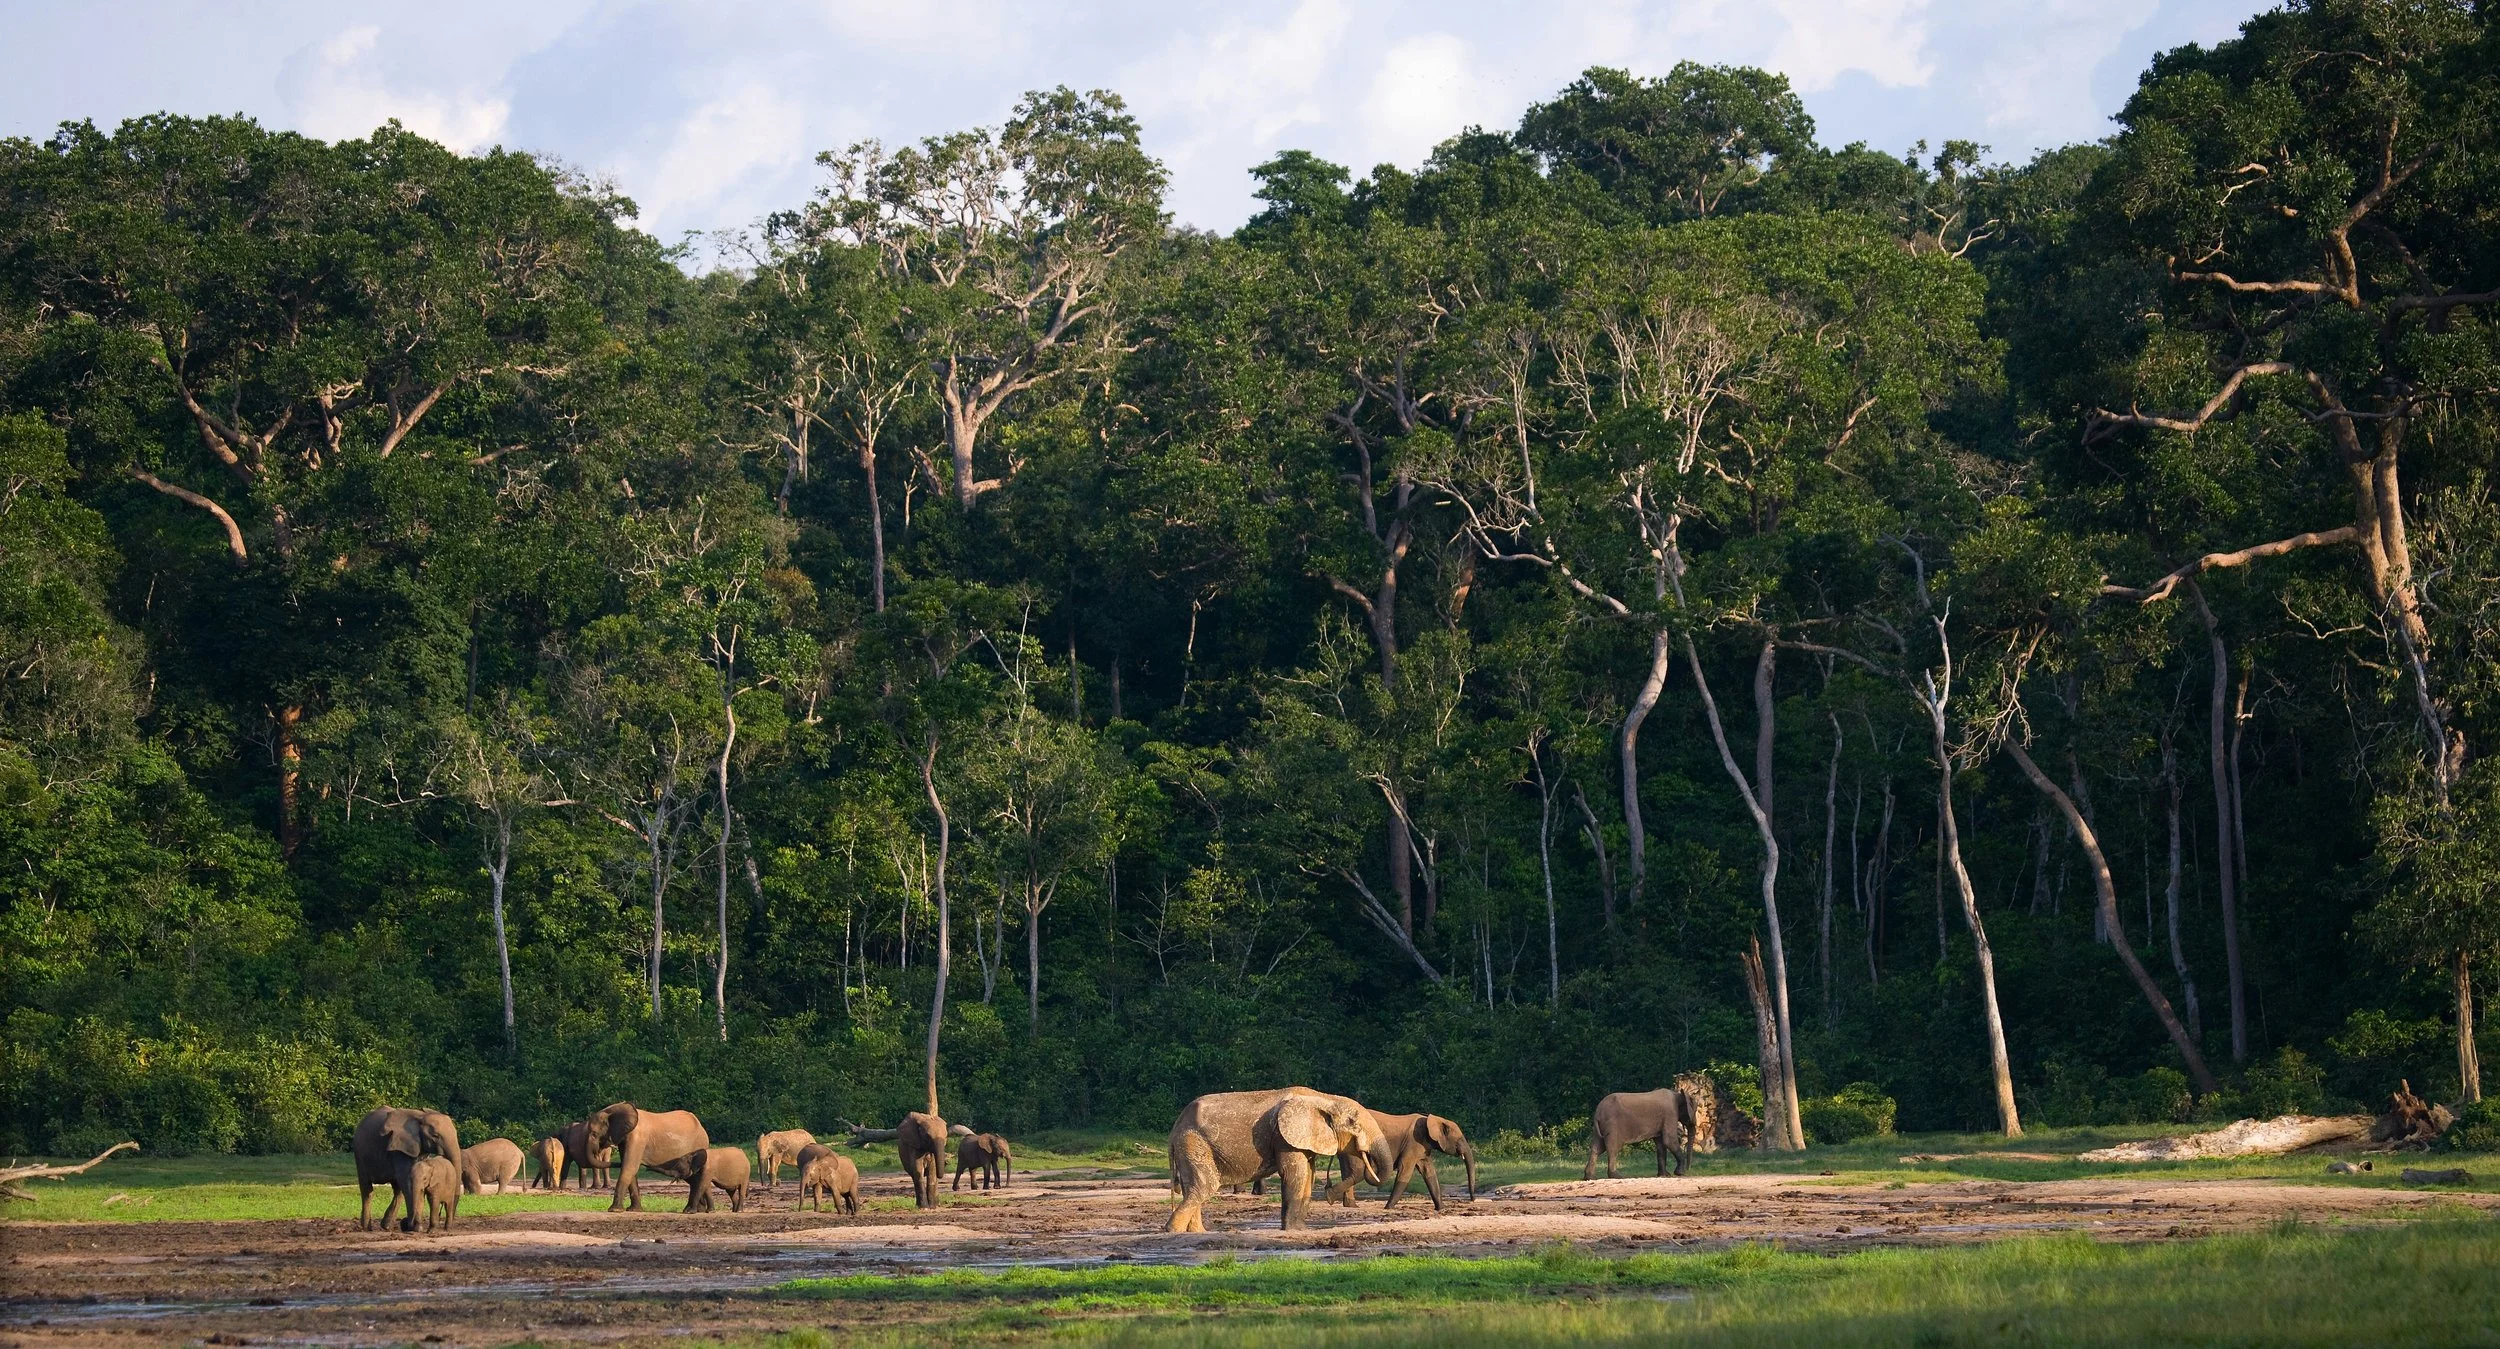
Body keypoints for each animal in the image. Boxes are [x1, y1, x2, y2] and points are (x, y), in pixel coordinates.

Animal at [581, 1101, 711, 1212]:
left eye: (594, 1134)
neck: (613, 1109)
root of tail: (701, 1126)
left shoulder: (637, 1138)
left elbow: (629, 1167)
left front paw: (614, 1210)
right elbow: (630, 1168)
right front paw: (634, 1210)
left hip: (699, 1144)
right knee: (693, 1177)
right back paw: (698, 1210)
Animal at [1166, 1088, 1382, 1233]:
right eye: (1353, 1123)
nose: (1329, 1194)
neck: (1323, 1098)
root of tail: (1175, 1127)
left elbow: (1308, 1177)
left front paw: (1301, 1229)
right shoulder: (1284, 1138)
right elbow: (1295, 1174)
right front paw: (1294, 1230)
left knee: (1193, 1188)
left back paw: (1196, 1232)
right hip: (1193, 1142)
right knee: (1205, 1187)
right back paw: (1173, 1231)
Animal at [1334, 1112, 1477, 1211]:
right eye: (1459, 1140)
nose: (1472, 1200)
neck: (1434, 1119)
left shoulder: (1422, 1147)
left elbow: (1429, 1172)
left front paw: (1441, 1209)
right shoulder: (1413, 1143)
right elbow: (1405, 1171)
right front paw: (1388, 1208)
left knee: (1349, 1172)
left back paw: (1351, 1205)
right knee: (1355, 1171)